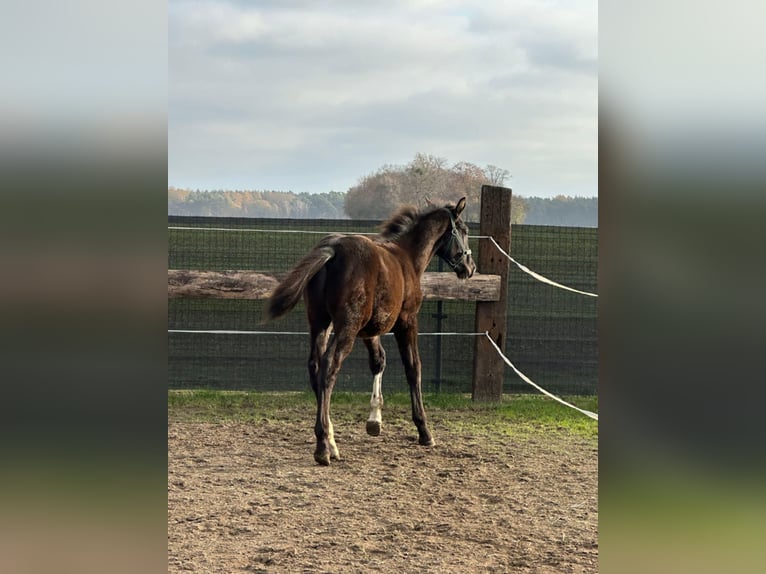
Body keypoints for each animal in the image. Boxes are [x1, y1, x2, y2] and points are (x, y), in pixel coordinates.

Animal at [268, 200, 474, 466]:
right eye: (465, 230)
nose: (470, 267)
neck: (407, 257)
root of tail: (334, 249)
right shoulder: (407, 321)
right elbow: (413, 368)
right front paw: (424, 431)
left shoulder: (370, 331)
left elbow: (378, 361)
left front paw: (374, 421)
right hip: (346, 326)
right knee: (329, 367)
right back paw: (323, 447)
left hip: (320, 323)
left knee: (315, 367)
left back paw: (332, 442)